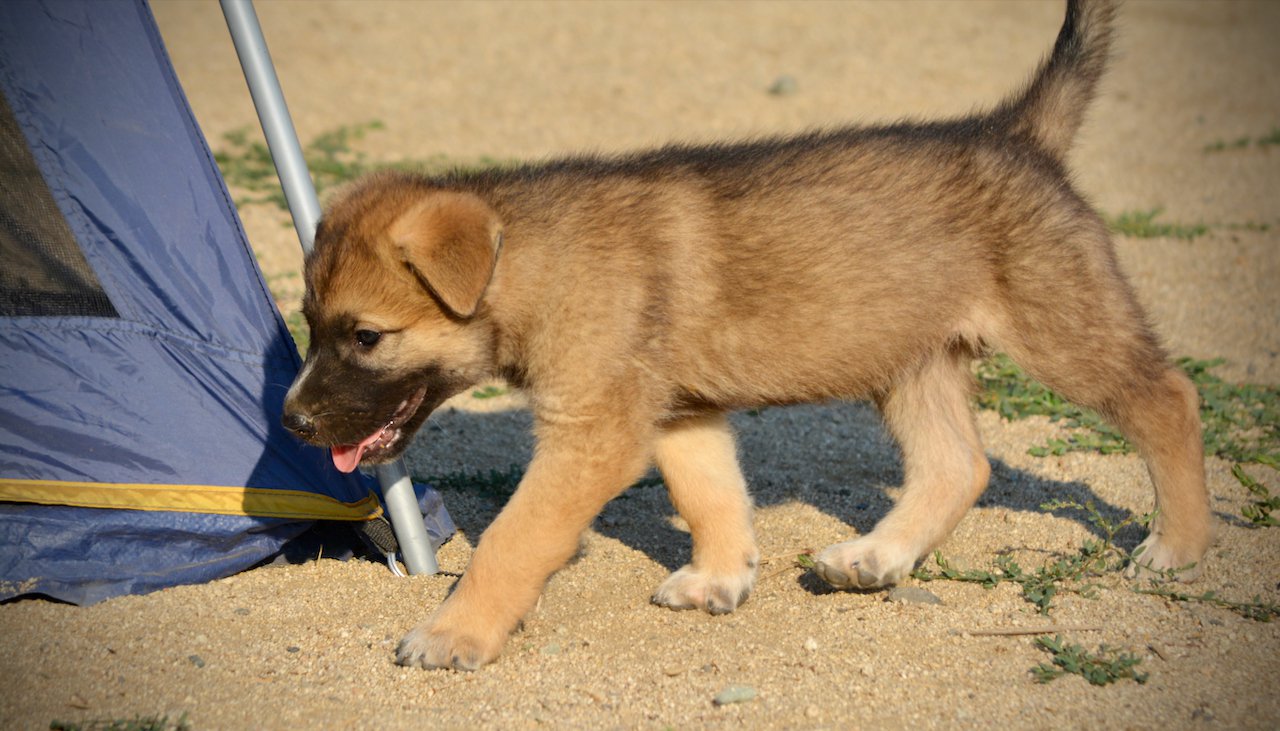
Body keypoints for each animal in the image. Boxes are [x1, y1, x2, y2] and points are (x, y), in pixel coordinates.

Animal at [280, 0, 1208, 670]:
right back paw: (875, 556)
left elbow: (512, 539)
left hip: (1063, 329)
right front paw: (722, 578)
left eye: (366, 336)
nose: (289, 421)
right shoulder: (678, 414)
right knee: (958, 465)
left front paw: (454, 634)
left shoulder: (590, 436)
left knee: (1168, 397)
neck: (531, 259)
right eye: (310, 324)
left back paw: (1179, 543)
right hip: (910, 359)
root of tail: (1014, 135)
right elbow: (711, 494)